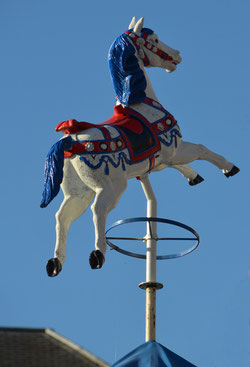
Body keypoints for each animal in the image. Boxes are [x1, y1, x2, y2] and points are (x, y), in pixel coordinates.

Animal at [41, 16, 238, 276]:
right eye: (154, 39)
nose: (177, 55)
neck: (143, 104)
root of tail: (69, 140)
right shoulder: (175, 149)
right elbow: (201, 149)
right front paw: (229, 168)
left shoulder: (161, 161)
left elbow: (183, 164)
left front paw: (194, 176)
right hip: (111, 186)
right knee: (97, 211)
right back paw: (97, 254)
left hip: (78, 191)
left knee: (61, 218)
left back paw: (55, 261)